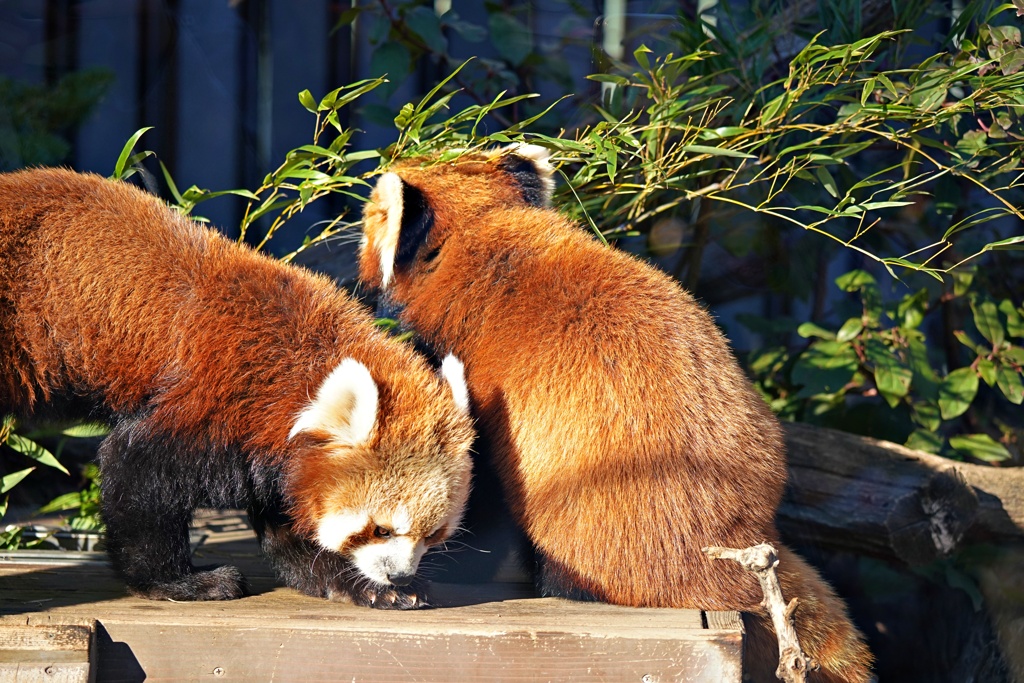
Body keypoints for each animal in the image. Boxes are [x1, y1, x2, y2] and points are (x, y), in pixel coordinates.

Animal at [0, 169, 471, 610]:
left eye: (434, 534)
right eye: (381, 528)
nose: (398, 573)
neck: (292, 368)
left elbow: (291, 527)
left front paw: (371, 587)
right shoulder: (211, 399)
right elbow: (135, 472)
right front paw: (179, 583)